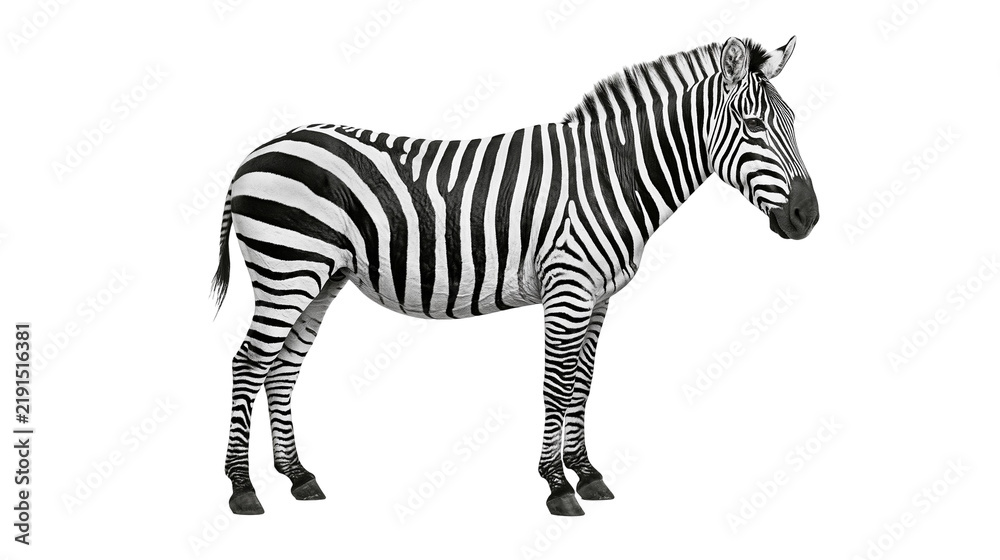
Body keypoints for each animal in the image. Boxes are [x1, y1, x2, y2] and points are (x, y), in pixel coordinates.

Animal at [212, 36, 820, 517]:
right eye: (753, 125)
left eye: (793, 123)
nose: (807, 217)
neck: (614, 175)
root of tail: (259, 150)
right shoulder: (568, 285)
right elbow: (557, 383)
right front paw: (557, 487)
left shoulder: (598, 296)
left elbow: (583, 384)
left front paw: (587, 474)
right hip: (287, 265)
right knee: (247, 362)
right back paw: (243, 490)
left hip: (320, 276)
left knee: (281, 369)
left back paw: (298, 478)